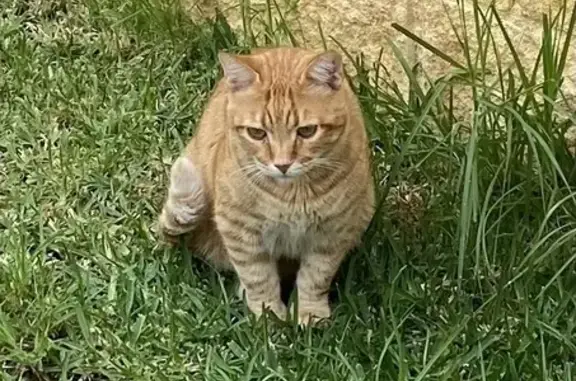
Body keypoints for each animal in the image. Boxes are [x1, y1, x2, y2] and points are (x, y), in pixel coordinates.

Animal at [159, 46, 374, 326]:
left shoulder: (333, 233)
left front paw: (310, 314)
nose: (282, 165)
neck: (294, 195)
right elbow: (258, 277)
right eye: (257, 133)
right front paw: (269, 316)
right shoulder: (240, 229)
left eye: (307, 131)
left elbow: (315, 277)